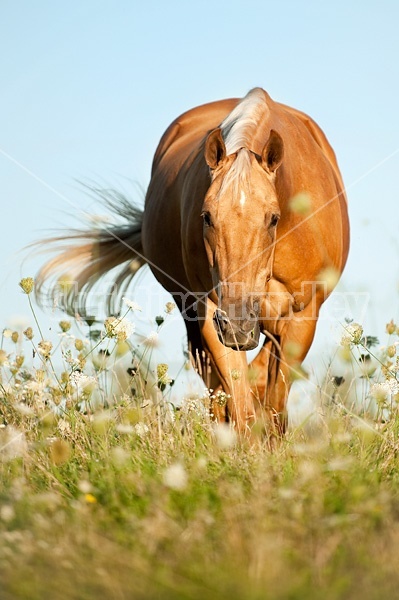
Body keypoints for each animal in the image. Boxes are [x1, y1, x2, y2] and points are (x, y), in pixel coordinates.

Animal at [37, 88, 350, 436]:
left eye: (273, 218)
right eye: (207, 217)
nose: (238, 325)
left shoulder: (302, 317)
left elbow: (273, 404)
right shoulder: (210, 314)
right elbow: (239, 403)